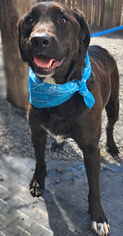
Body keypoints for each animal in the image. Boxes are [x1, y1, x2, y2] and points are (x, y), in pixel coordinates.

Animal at [18, 1, 119, 234]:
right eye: (29, 20)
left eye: (63, 20)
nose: (39, 40)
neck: (58, 89)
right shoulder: (36, 132)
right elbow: (40, 161)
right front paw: (38, 182)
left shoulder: (91, 149)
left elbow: (94, 187)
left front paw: (98, 217)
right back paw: (58, 144)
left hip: (114, 105)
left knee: (110, 126)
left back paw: (111, 146)